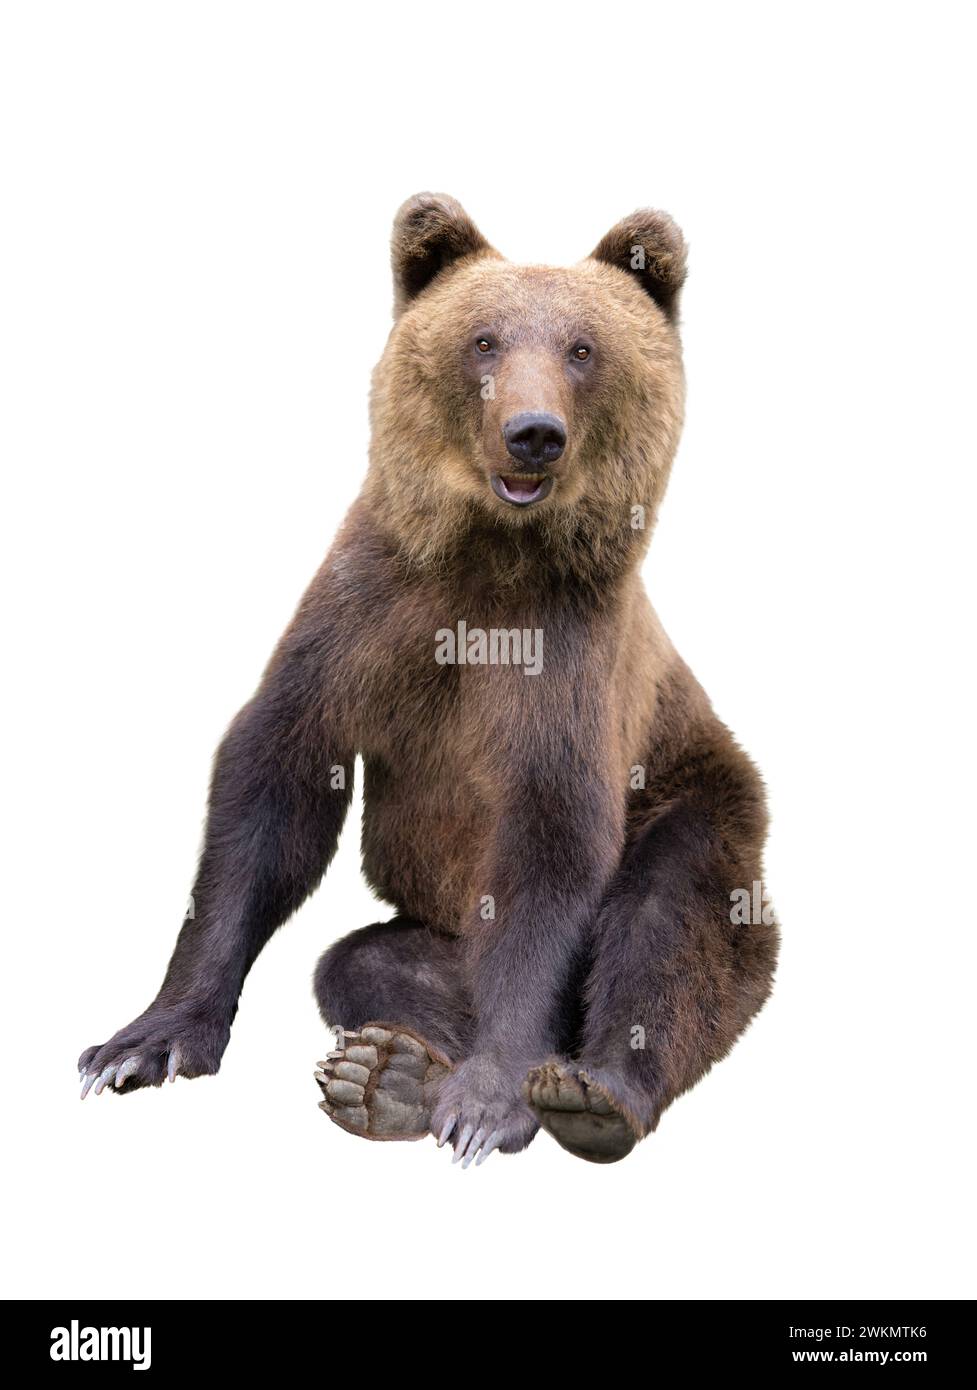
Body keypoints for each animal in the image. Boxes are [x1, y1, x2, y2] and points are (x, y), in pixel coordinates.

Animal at [78, 193, 778, 1166]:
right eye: (483, 340)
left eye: (582, 348)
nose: (534, 433)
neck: (489, 558)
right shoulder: (365, 617)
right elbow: (271, 789)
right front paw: (145, 1042)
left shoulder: (565, 664)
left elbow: (554, 848)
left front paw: (489, 1103)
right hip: (440, 930)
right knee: (366, 963)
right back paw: (391, 1076)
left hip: (703, 792)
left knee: (671, 925)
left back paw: (589, 1093)